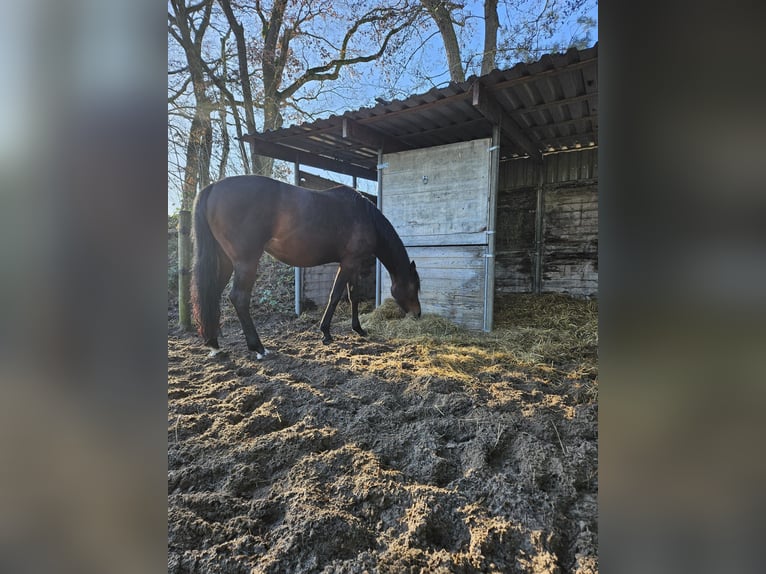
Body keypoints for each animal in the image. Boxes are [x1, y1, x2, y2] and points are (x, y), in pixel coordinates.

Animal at [190, 176, 420, 360]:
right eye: (414, 286)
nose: (418, 314)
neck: (365, 216)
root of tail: (212, 188)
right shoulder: (349, 263)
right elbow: (335, 295)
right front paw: (325, 332)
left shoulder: (353, 264)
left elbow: (353, 296)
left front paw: (358, 329)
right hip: (246, 261)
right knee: (238, 298)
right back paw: (258, 348)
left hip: (225, 261)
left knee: (212, 294)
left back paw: (214, 343)